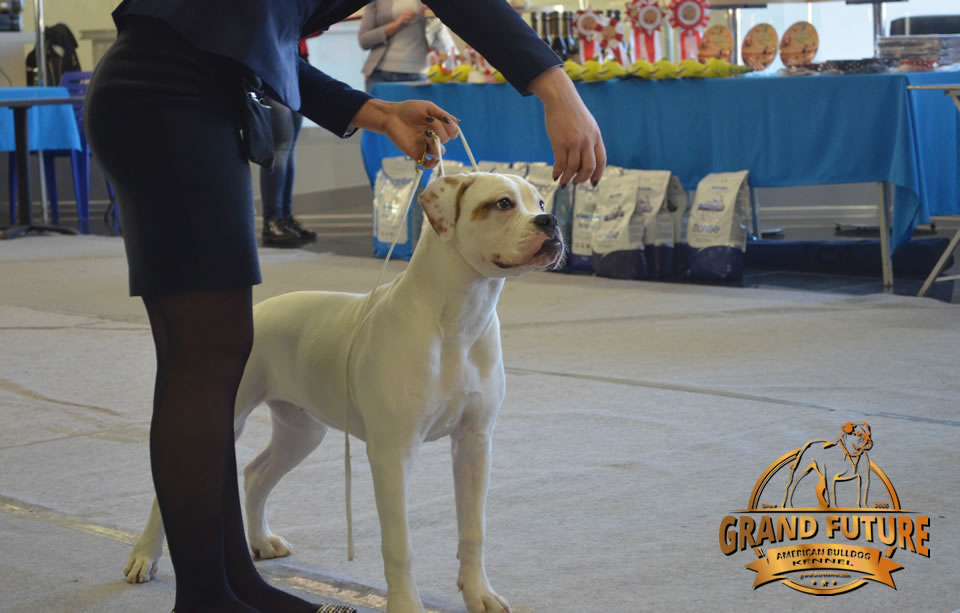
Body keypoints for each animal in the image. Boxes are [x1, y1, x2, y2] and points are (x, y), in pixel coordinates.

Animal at [124, 172, 568, 612]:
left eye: (540, 202)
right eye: (502, 204)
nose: (551, 222)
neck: (459, 319)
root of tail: (258, 312)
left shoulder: (475, 443)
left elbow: (473, 530)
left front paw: (479, 594)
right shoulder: (392, 452)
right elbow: (399, 545)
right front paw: (406, 605)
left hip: (302, 432)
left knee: (256, 474)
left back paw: (262, 541)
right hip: (227, 416)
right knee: (168, 492)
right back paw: (145, 556)